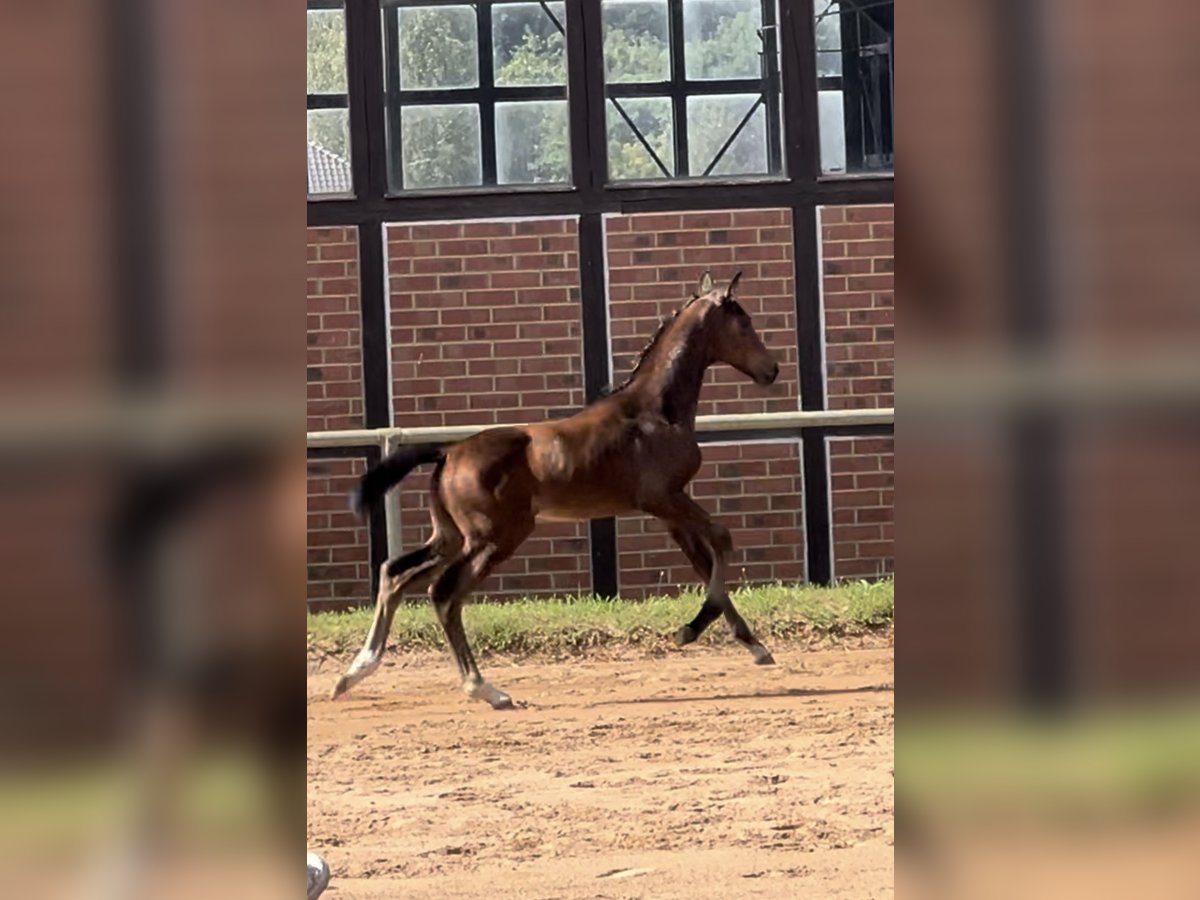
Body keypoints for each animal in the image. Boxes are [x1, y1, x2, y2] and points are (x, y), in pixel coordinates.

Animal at [328, 271, 782, 710]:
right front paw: (691, 630)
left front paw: (753, 645)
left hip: (452, 536)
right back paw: (485, 689)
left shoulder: (669, 510)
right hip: (495, 538)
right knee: (443, 593)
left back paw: (355, 672)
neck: (654, 412)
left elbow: (703, 562)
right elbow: (722, 539)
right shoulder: (665, 499)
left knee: (395, 573)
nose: (772, 370)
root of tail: (448, 453)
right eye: (744, 323)